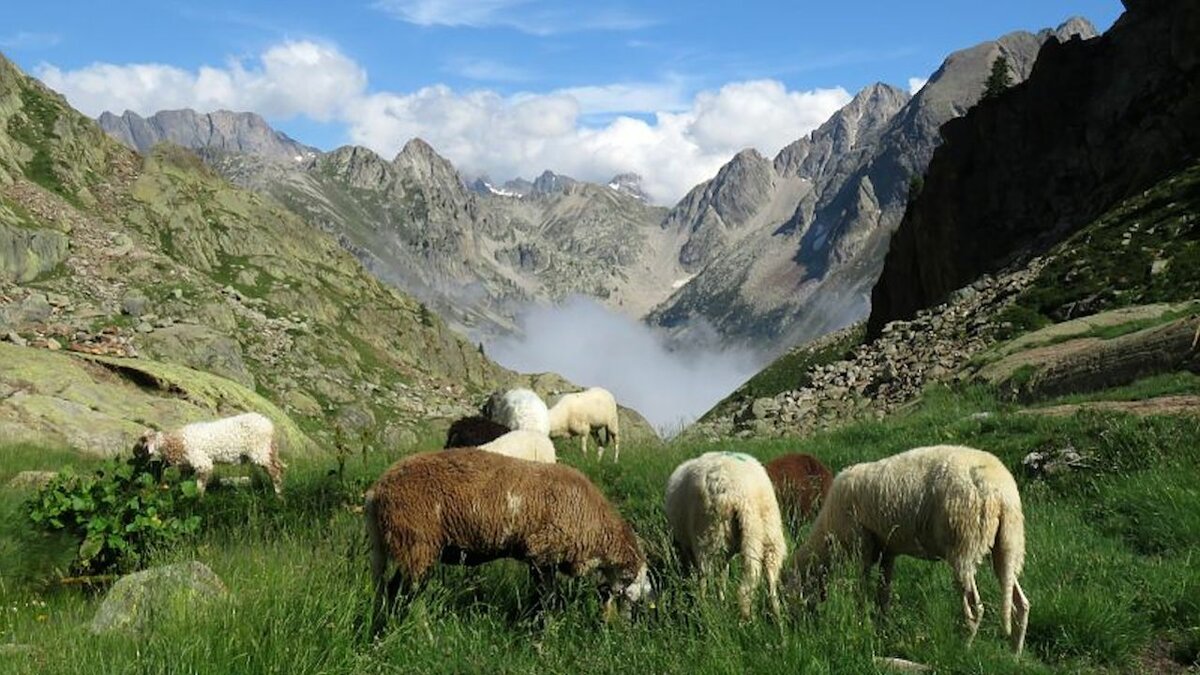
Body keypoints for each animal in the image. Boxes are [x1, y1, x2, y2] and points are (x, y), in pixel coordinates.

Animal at [132, 410, 283, 494]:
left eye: (141, 446)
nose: (135, 457)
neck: (177, 443)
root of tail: (269, 424)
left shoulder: (202, 462)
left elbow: (199, 487)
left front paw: (197, 503)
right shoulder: (187, 467)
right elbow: (184, 484)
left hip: (260, 451)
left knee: (275, 472)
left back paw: (279, 497)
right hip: (268, 451)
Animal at [364, 446, 652, 629]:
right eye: (633, 594)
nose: (624, 629)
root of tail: (377, 491)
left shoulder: (542, 560)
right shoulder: (543, 553)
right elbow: (547, 600)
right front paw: (543, 633)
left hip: (399, 543)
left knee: (392, 589)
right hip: (417, 542)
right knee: (410, 594)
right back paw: (423, 634)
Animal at [667, 449, 787, 619]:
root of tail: (742, 494)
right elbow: (722, 575)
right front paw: (721, 600)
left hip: (708, 536)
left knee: (704, 576)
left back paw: (703, 610)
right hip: (769, 533)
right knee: (770, 578)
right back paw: (777, 617)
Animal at [796, 444, 1032, 653]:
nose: (796, 622)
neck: (826, 535)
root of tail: (1001, 492)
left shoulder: (861, 545)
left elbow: (861, 589)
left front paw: (861, 621)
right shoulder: (887, 549)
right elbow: (883, 592)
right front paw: (882, 627)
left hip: (964, 544)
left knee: (975, 609)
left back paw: (964, 649)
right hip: (1008, 542)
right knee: (1020, 603)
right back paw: (1015, 654)